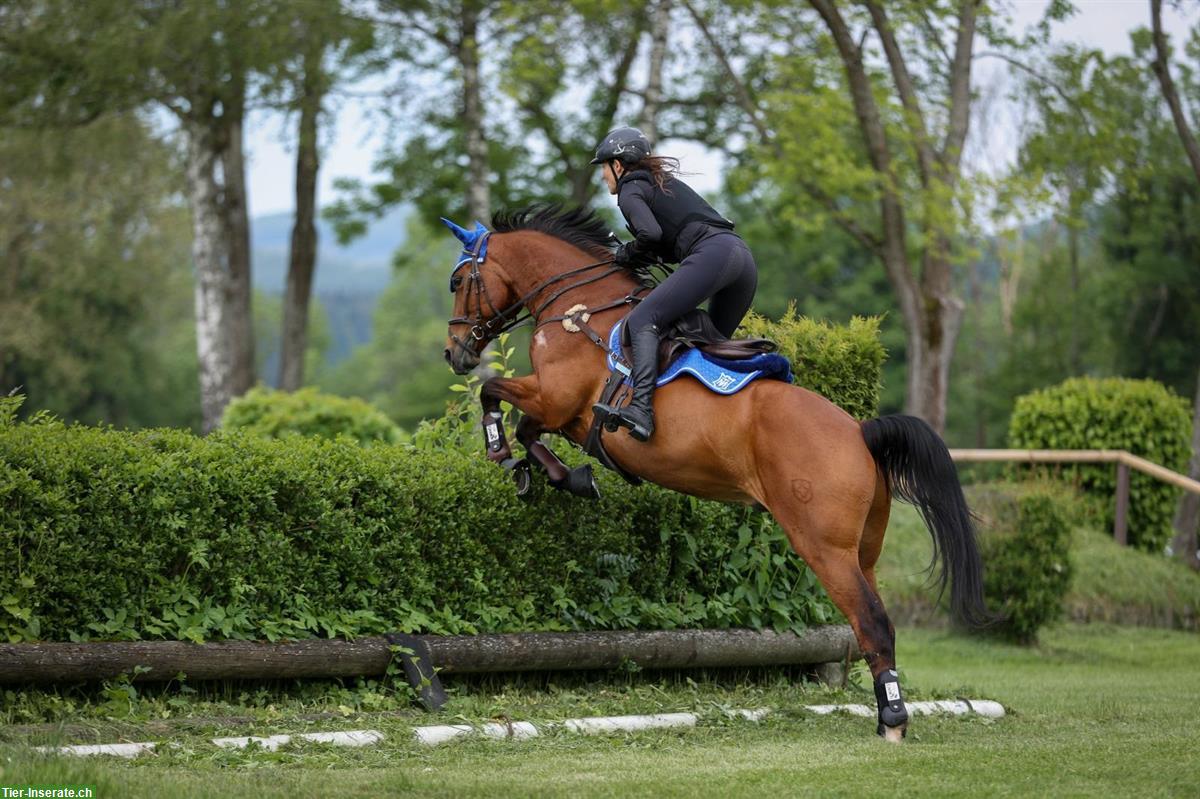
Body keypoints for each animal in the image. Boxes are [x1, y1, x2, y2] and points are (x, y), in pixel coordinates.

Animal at [441, 205, 984, 739]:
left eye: (459, 280)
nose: (454, 351)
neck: (578, 309)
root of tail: (860, 432)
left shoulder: (556, 399)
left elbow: (494, 394)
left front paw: (501, 450)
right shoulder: (563, 413)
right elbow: (527, 428)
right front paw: (561, 476)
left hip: (825, 548)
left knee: (869, 620)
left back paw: (892, 721)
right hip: (864, 550)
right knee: (878, 622)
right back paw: (887, 712)